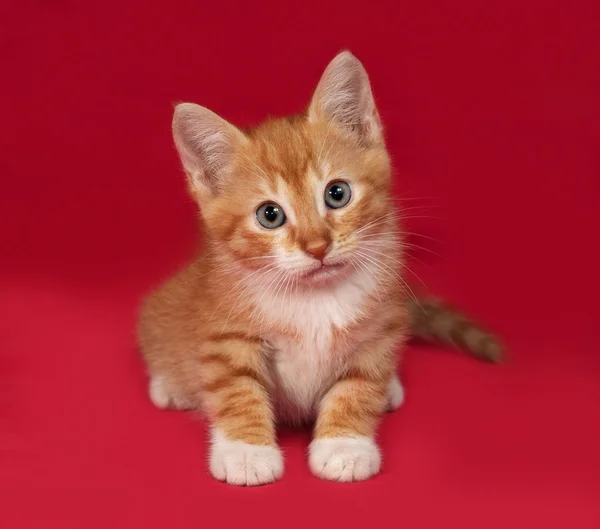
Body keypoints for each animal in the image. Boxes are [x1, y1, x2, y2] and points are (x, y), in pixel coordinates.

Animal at [137, 51, 502, 484]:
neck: (314, 297)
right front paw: (247, 452)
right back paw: (171, 386)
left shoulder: (379, 327)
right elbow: (236, 387)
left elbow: (359, 386)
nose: (317, 246)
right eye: (270, 215)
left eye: (337, 193)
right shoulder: (224, 331)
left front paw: (344, 445)